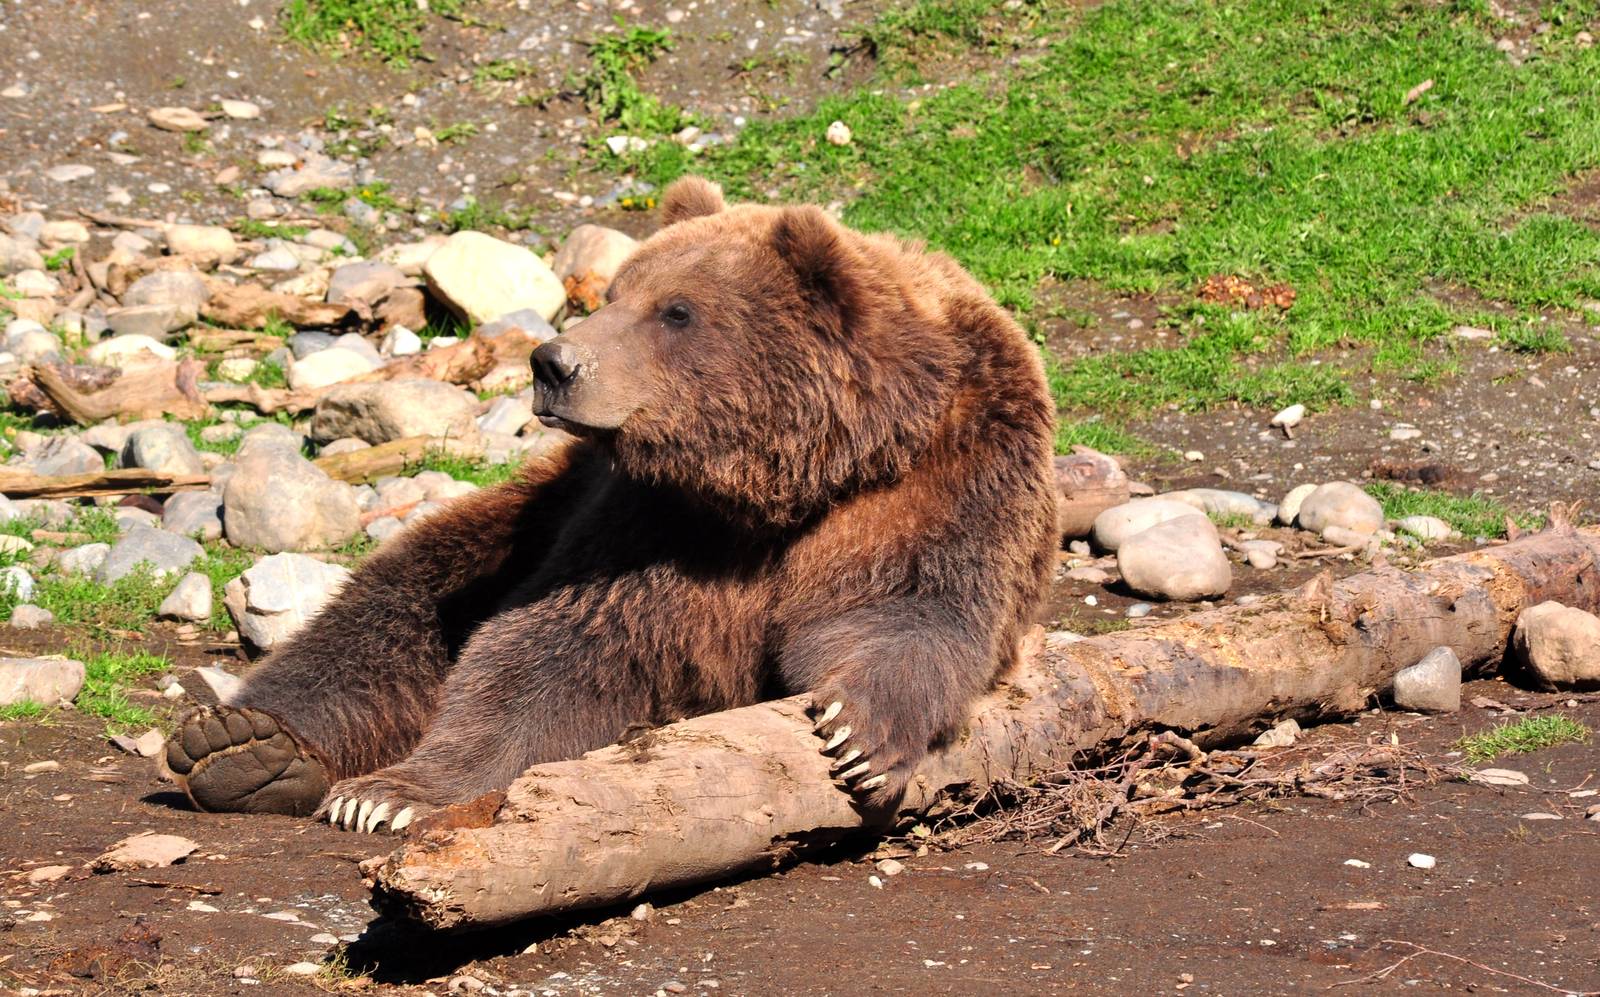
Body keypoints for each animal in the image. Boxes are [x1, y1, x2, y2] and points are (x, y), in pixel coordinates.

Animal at [165, 176, 1059, 834]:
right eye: (615, 293)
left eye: (677, 310)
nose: (554, 362)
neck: (792, 477)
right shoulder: (649, 516)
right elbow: (552, 649)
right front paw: (387, 793)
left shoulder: (941, 477)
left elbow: (908, 606)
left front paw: (857, 731)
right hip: (524, 514)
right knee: (389, 608)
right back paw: (242, 745)